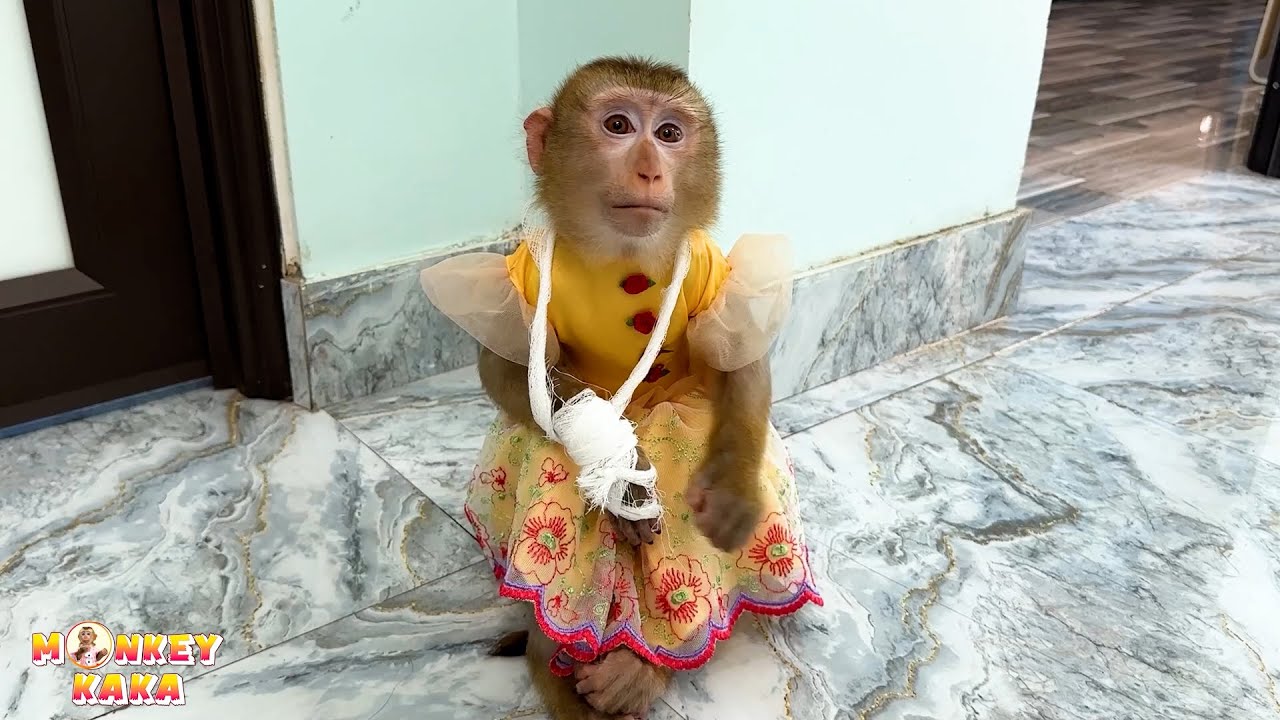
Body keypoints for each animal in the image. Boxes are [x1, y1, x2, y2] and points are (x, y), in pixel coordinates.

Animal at [422, 56, 820, 720]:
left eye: (669, 134)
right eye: (617, 125)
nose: (650, 168)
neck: (622, 258)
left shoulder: (708, 262)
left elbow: (737, 355)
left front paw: (731, 490)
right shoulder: (520, 273)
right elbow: (508, 370)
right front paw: (623, 479)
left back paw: (643, 668)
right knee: (544, 451)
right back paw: (554, 660)